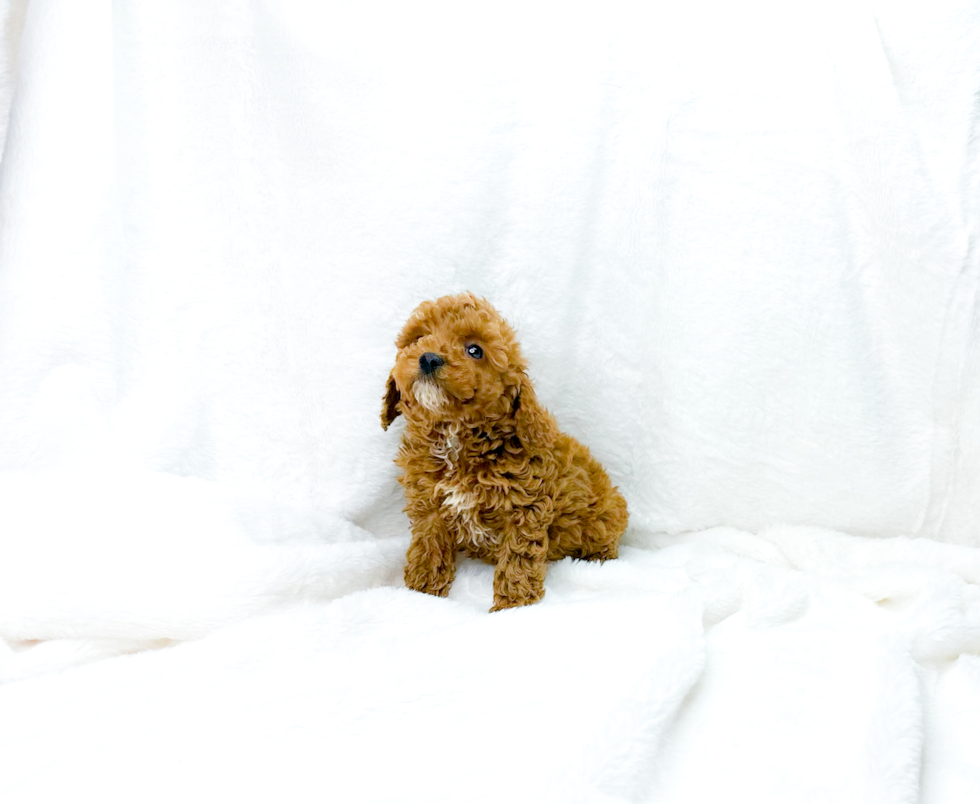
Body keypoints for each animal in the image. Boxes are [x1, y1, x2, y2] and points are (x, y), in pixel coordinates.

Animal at [382, 292, 628, 612]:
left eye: (475, 350)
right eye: (419, 338)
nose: (428, 357)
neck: (455, 436)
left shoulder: (526, 508)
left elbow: (518, 558)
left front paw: (513, 606)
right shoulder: (429, 506)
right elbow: (428, 546)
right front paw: (421, 591)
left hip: (607, 515)